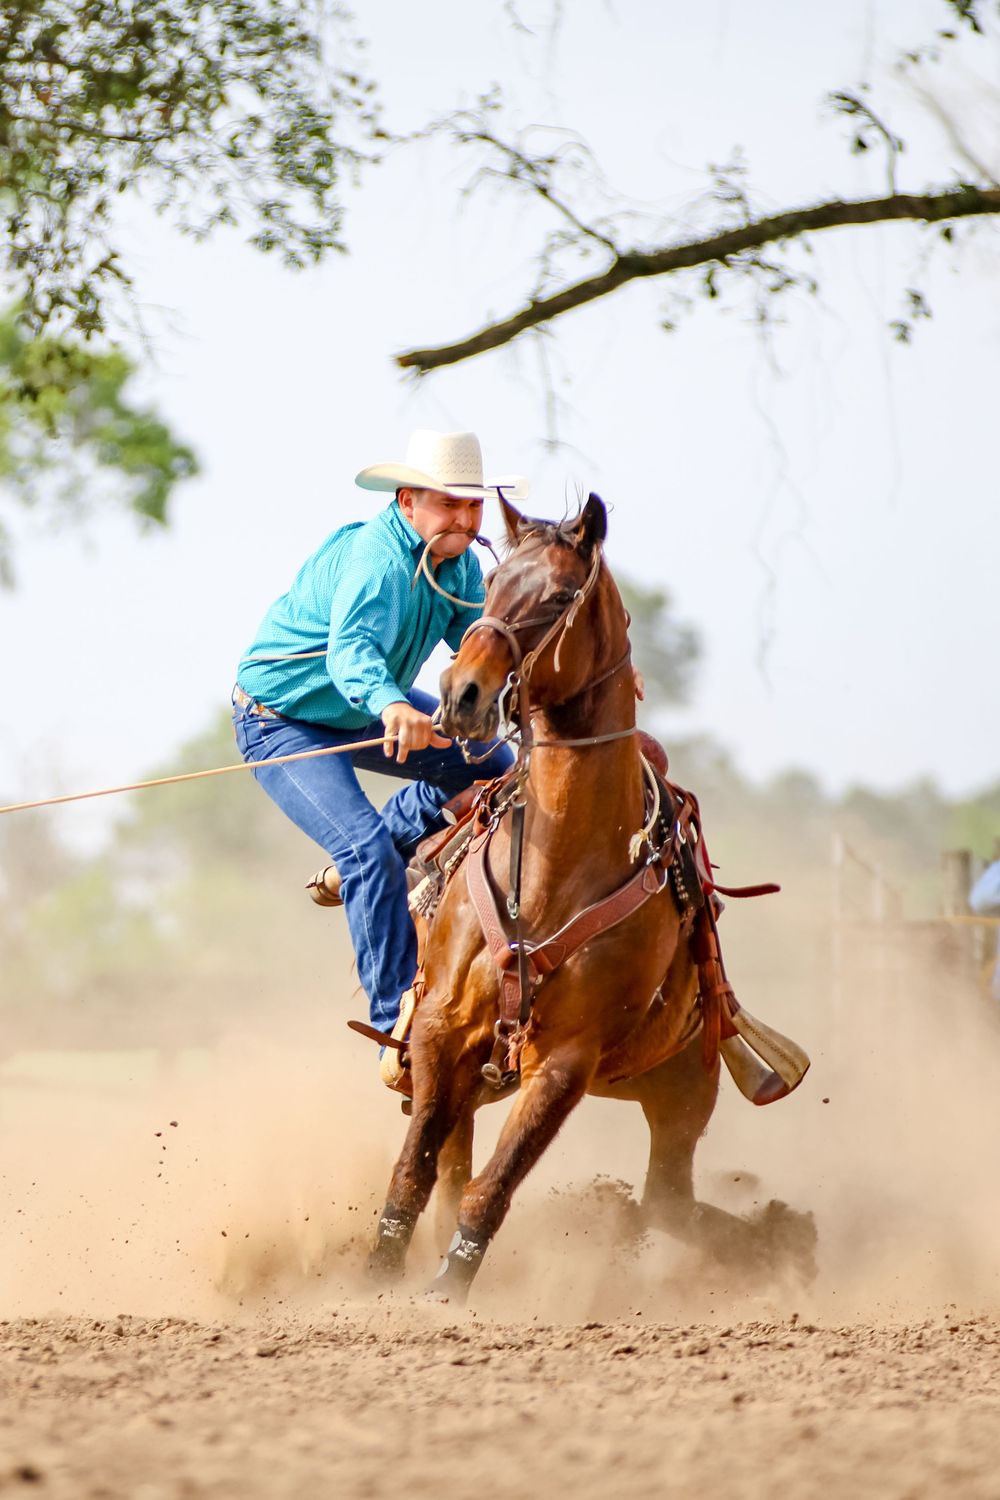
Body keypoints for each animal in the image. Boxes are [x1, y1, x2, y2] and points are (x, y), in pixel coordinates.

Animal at [369, 493, 814, 1301]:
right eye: (487, 586)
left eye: (557, 597)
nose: (460, 696)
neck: (552, 877)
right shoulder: (443, 1029)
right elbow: (412, 1173)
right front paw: (369, 1283)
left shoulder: (568, 1059)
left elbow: (492, 1189)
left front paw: (444, 1293)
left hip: (680, 1088)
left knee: (666, 1202)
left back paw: (785, 1243)